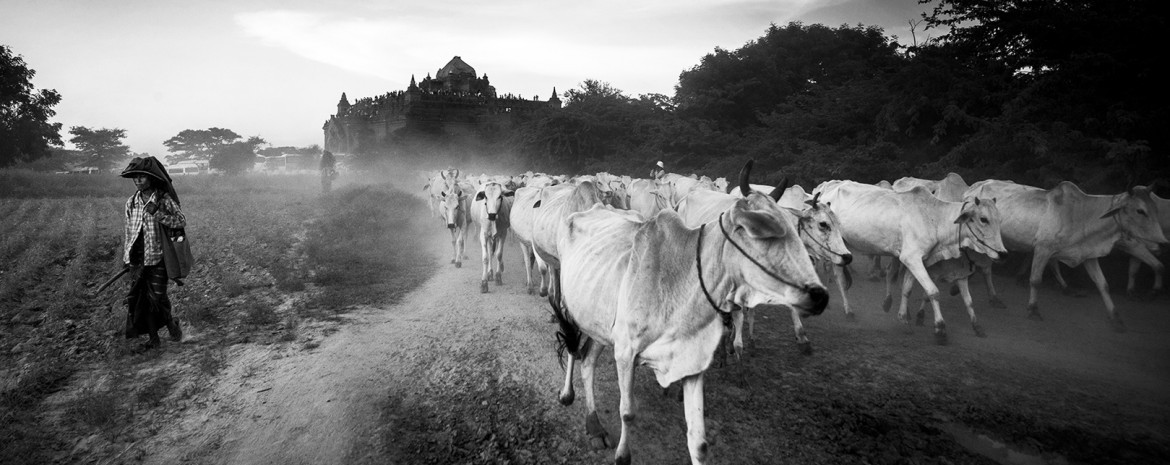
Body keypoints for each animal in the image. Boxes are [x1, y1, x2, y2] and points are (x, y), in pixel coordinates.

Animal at [551, 160, 828, 464]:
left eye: (794, 227)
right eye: (758, 228)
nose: (819, 295)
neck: (682, 282)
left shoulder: (691, 362)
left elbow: (698, 441)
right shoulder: (625, 352)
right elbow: (627, 412)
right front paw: (623, 454)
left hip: (599, 325)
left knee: (587, 363)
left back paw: (595, 426)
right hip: (569, 305)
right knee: (573, 348)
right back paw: (567, 395)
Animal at [816, 181, 1007, 344]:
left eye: (999, 220)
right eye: (983, 219)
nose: (1002, 253)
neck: (935, 219)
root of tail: (825, 190)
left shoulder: (915, 260)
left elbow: (907, 289)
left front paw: (903, 318)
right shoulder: (912, 258)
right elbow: (933, 292)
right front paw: (940, 329)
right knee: (839, 278)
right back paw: (848, 310)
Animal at [964, 180, 1167, 330]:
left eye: (1156, 209)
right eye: (1140, 210)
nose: (1163, 241)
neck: (1082, 214)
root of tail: (973, 187)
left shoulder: (1088, 254)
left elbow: (1103, 285)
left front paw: (1116, 319)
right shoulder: (1043, 248)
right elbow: (1035, 280)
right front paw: (1033, 310)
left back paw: (994, 298)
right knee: (984, 267)